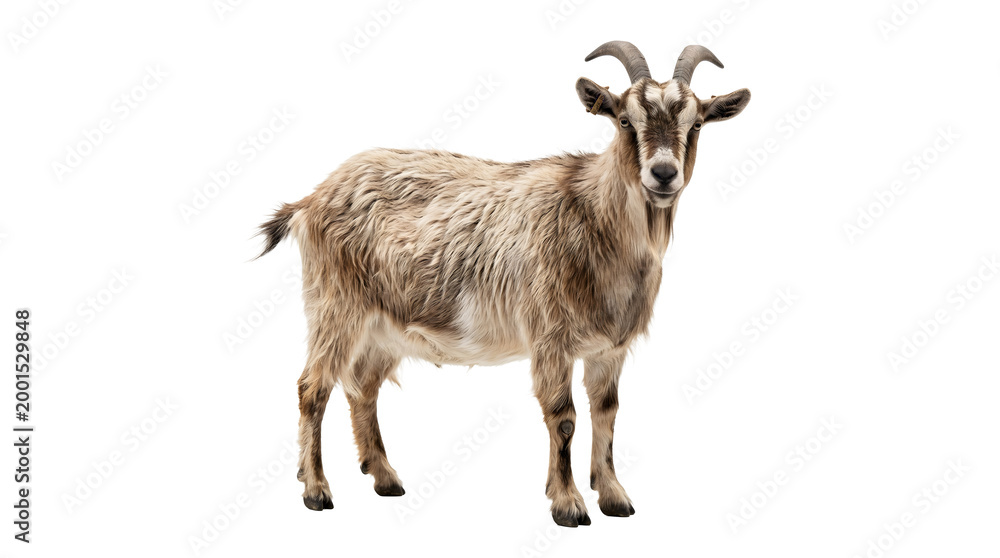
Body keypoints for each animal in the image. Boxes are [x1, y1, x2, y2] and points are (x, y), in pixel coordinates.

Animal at [257, 41, 750, 527]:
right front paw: (568, 504)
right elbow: (563, 416)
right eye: (625, 120)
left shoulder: (610, 347)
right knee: (313, 387)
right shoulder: (550, 334)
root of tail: (312, 199)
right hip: (336, 304)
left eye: (697, 123)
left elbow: (606, 413)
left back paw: (384, 477)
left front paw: (613, 496)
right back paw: (316, 490)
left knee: (362, 387)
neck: (592, 218)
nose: (663, 174)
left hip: (384, 326)